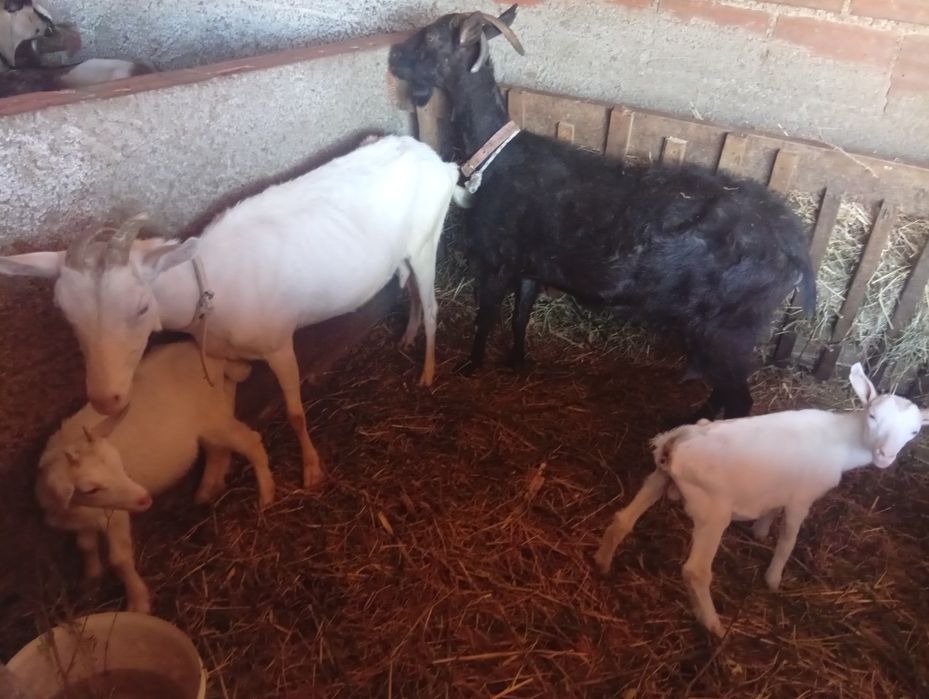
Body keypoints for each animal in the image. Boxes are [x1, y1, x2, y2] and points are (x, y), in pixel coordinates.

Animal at [0, 135, 462, 488]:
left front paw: (312, 470)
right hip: (406, 250)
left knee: (432, 303)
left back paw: (427, 372)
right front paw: (214, 479)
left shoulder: (278, 344)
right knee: (412, 290)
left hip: (428, 238)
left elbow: (295, 412)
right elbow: (222, 414)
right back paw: (407, 337)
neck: (207, 286)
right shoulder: (220, 355)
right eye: (65, 311)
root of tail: (439, 160)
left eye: (142, 305)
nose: (104, 399)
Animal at [36, 340, 273, 613]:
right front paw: (91, 583)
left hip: (213, 417)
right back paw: (206, 491)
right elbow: (86, 547)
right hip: (214, 413)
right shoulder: (82, 521)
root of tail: (205, 352)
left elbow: (119, 559)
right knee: (217, 450)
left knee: (250, 441)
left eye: (119, 463)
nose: (144, 499)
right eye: (90, 489)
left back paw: (266, 496)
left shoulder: (115, 516)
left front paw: (138, 602)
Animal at [388, 5, 816, 420]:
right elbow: (519, 317)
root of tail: (795, 242)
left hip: (729, 328)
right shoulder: (530, 266)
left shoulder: (496, 261)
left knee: (739, 399)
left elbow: (486, 317)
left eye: (431, 37)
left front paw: (471, 366)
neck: (496, 155)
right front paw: (516, 362)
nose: (393, 55)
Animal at [594, 363, 928, 636]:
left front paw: (760, 532)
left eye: (914, 432)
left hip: (658, 477)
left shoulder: (782, 489)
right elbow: (788, 540)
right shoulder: (801, 498)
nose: (885, 456)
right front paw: (773, 580)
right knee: (695, 571)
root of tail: (674, 443)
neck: (843, 442)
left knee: (622, 519)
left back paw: (602, 563)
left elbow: (771, 511)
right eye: (872, 416)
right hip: (713, 511)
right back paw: (713, 625)